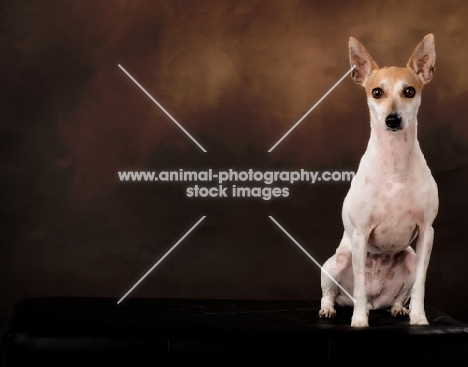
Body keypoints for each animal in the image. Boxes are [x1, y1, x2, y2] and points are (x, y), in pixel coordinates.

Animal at [318, 34, 438, 328]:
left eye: (410, 91)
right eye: (376, 92)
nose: (393, 119)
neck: (395, 161)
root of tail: (376, 301)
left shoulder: (426, 232)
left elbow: (420, 285)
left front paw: (419, 317)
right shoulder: (361, 234)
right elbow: (360, 283)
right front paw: (359, 321)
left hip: (410, 258)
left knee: (400, 295)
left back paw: (398, 309)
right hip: (335, 262)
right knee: (332, 293)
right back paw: (331, 310)